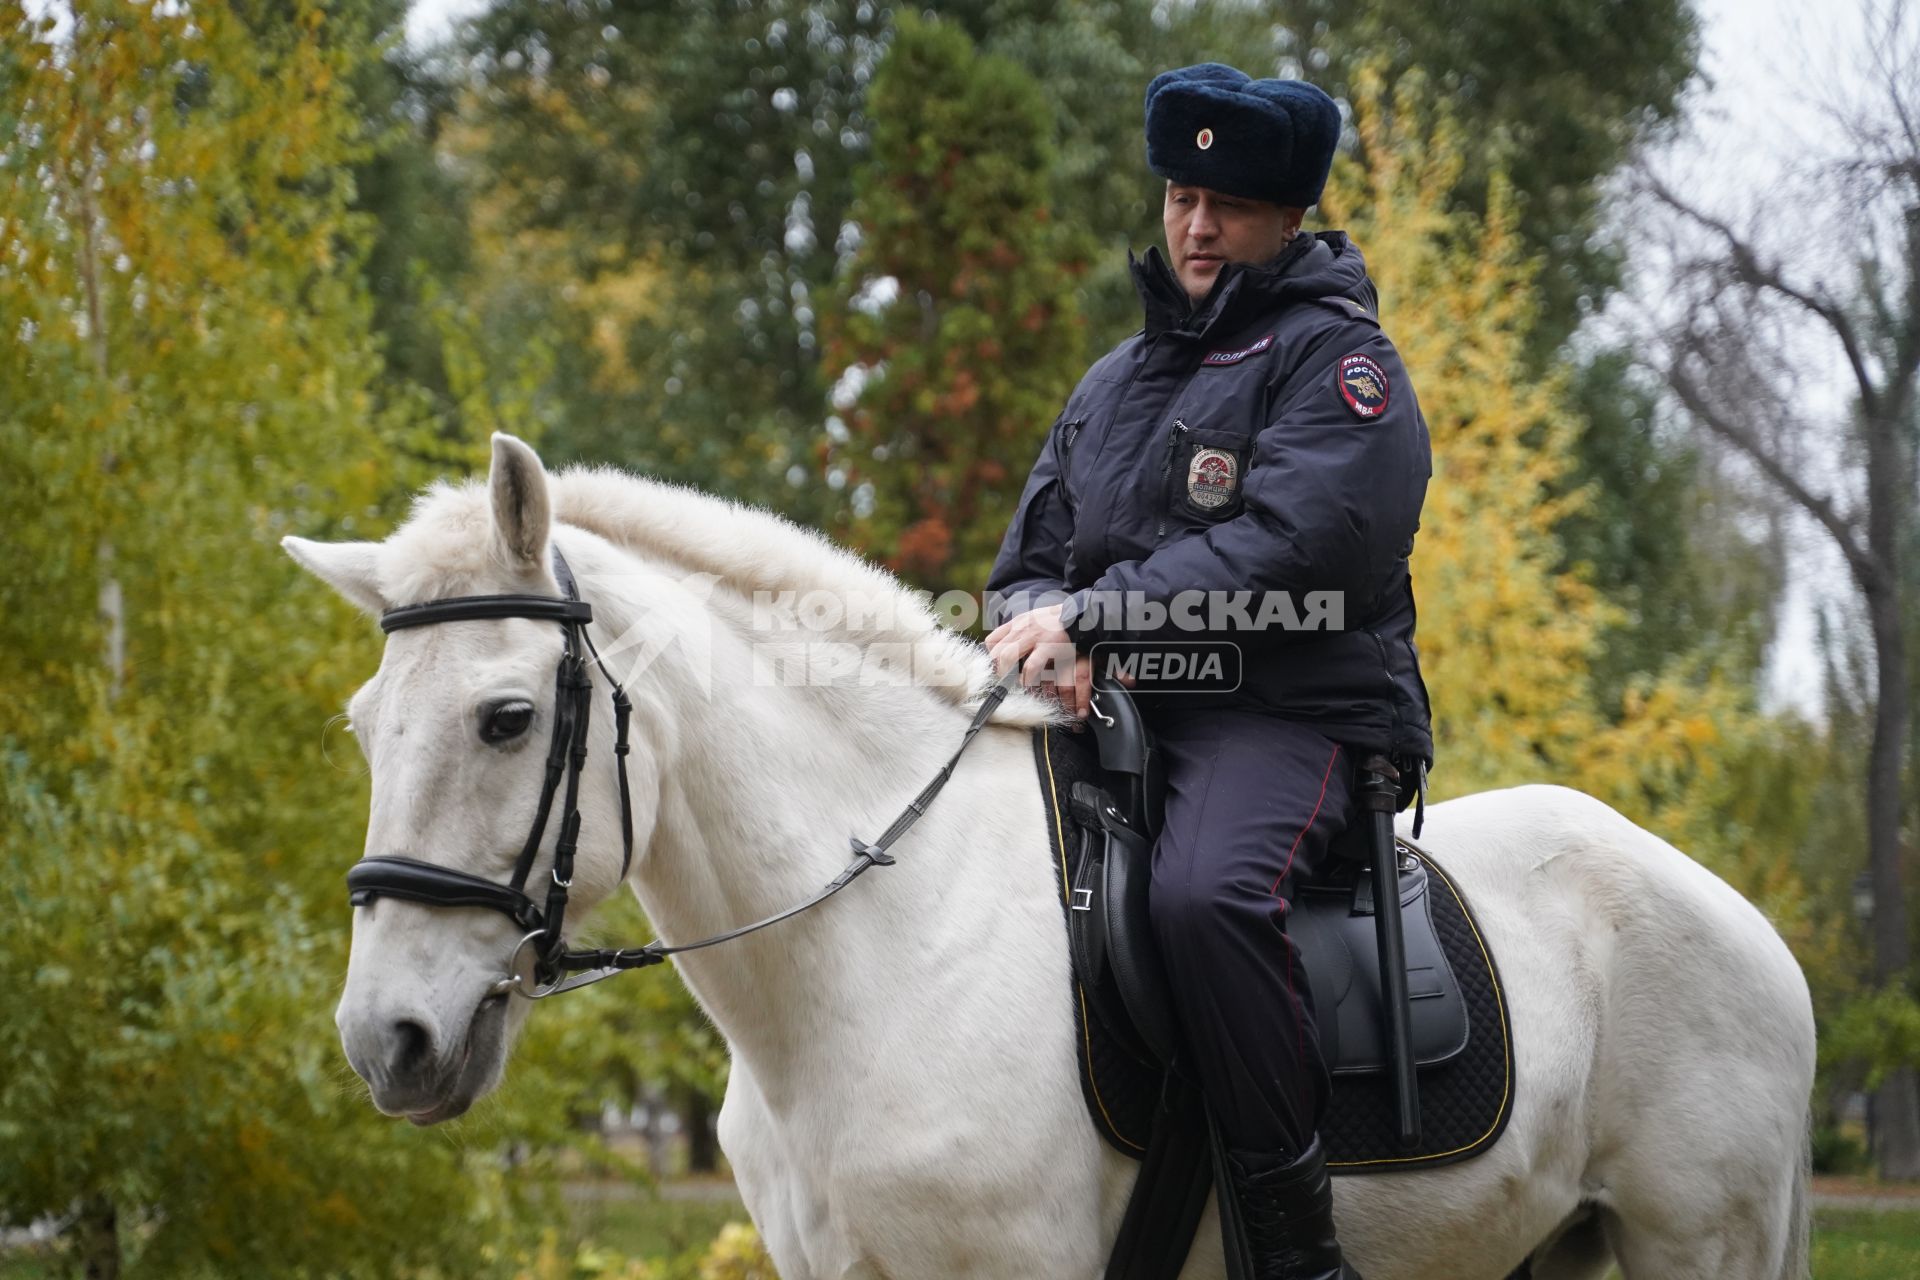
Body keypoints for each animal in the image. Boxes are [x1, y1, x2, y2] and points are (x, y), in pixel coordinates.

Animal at [284, 435, 1812, 1274]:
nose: (386, 1040)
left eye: (505, 717)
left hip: (1700, 1244)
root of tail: (1748, 925)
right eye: (361, 726)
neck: (874, 952)